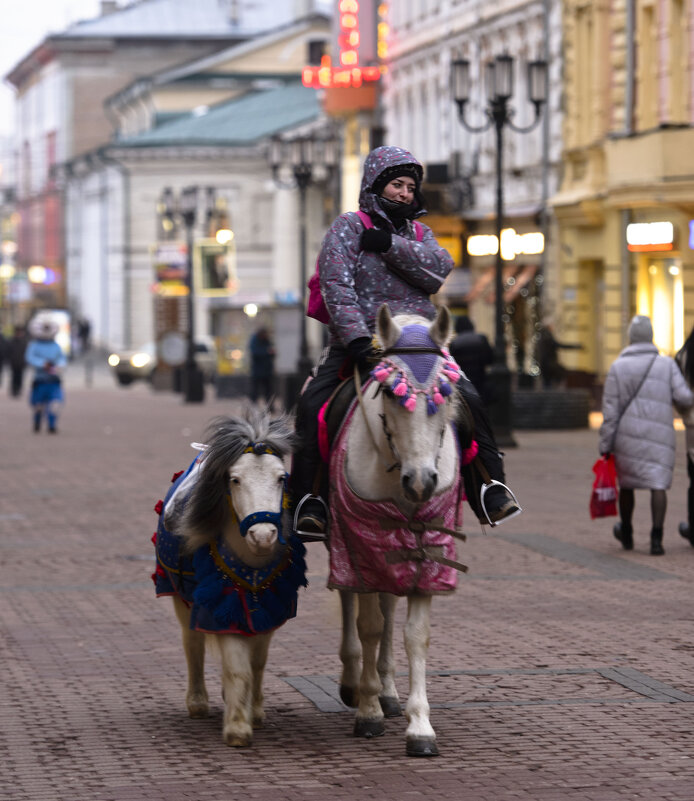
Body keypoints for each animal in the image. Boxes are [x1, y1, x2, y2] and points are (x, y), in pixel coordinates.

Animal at [152, 410, 308, 748]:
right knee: (192, 643)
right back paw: (198, 702)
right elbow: (237, 667)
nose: (263, 535)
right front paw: (237, 728)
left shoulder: (268, 609)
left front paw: (254, 711)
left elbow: (256, 663)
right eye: (234, 479)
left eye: (281, 478)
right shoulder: (221, 606)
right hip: (180, 598)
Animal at [328, 304, 474, 756]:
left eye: (446, 394)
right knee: (349, 600)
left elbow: (415, 635)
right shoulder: (361, 539)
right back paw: (355, 685)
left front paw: (420, 726)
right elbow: (369, 625)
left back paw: (388, 690)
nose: (422, 480)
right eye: (392, 393)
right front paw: (368, 712)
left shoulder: (428, 547)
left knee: (389, 607)